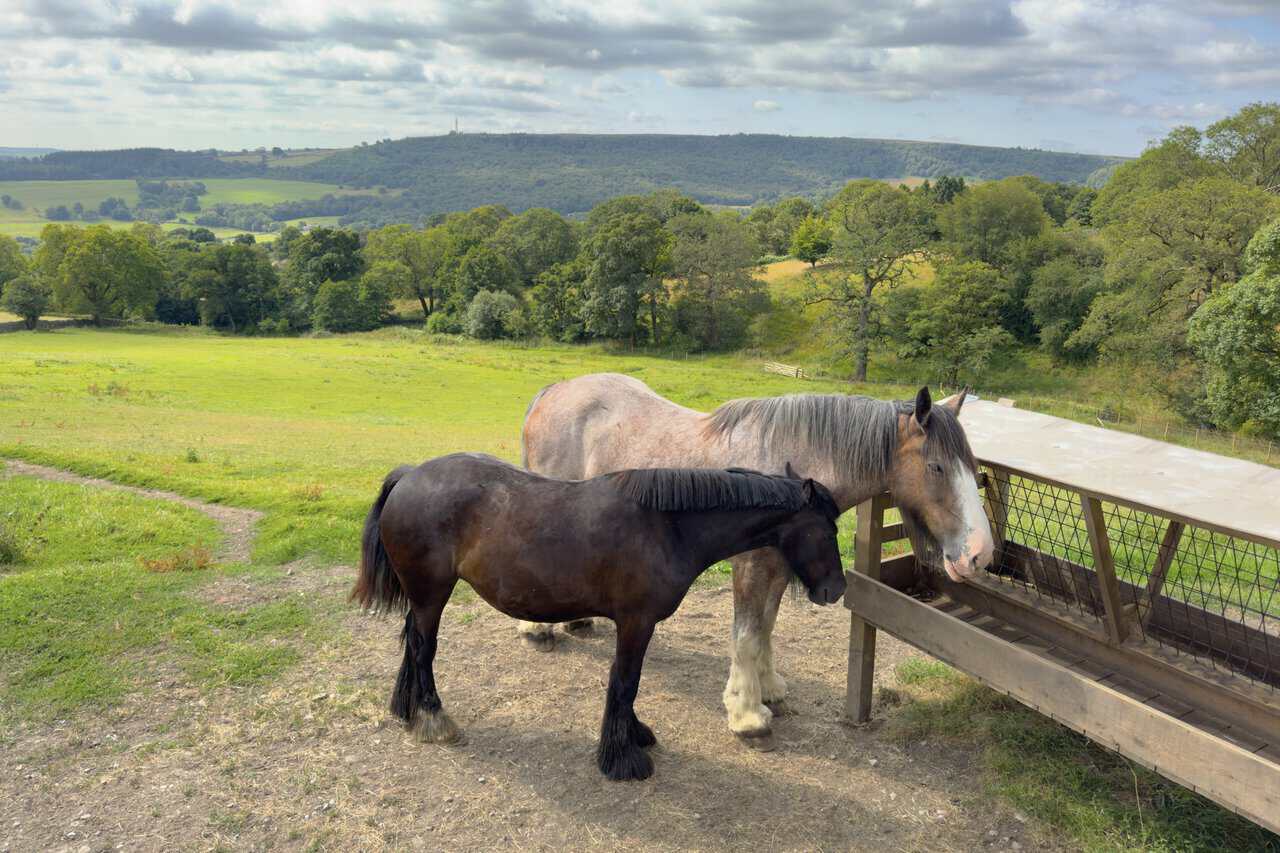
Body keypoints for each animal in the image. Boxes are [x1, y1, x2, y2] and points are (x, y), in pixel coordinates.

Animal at [351, 453, 847, 781]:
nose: (836, 590)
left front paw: (634, 735)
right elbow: (625, 682)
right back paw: (433, 717)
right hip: (432, 593)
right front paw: (622, 757)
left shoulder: (636, 625)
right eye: (827, 530)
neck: (667, 527)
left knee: (412, 642)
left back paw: (406, 709)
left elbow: (628, 684)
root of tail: (410, 476)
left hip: (423, 597)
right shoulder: (635, 622)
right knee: (424, 649)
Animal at [520, 374, 994, 742]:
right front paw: (746, 714)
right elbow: (746, 633)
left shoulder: (780, 566)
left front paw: (767, 689)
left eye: (973, 467)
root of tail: (554, 390)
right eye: (936, 467)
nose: (980, 553)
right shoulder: (751, 565)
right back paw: (536, 630)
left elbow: (766, 626)